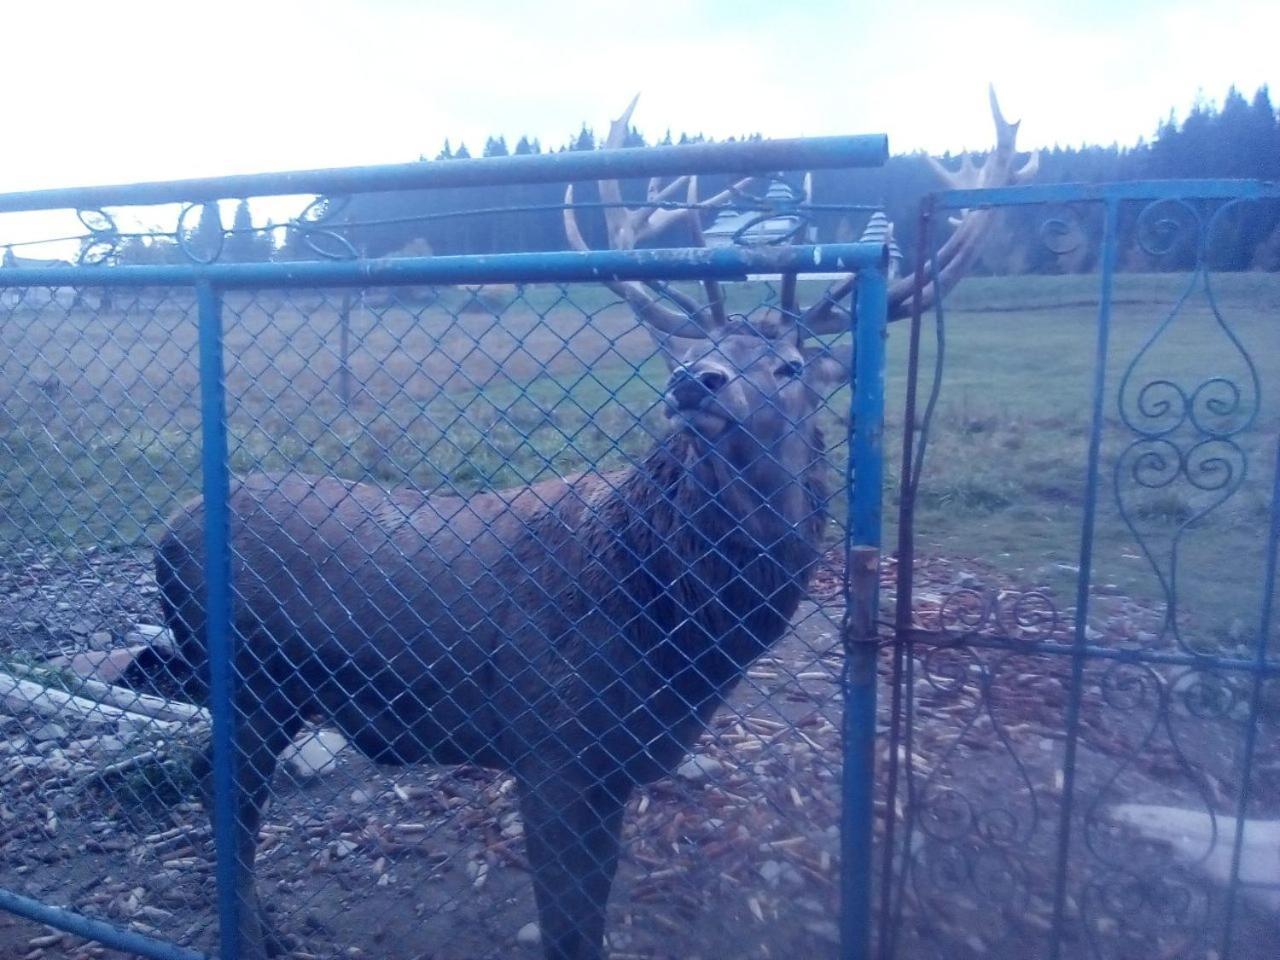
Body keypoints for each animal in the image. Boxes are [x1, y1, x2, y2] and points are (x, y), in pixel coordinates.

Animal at [127, 90, 1029, 960]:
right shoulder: (551, 746)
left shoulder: (615, 767)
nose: (692, 380)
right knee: (227, 802)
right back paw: (256, 935)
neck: (668, 626)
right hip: (250, 683)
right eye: (699, 346)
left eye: (791, 366)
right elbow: (567, 925)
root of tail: (167, 533)